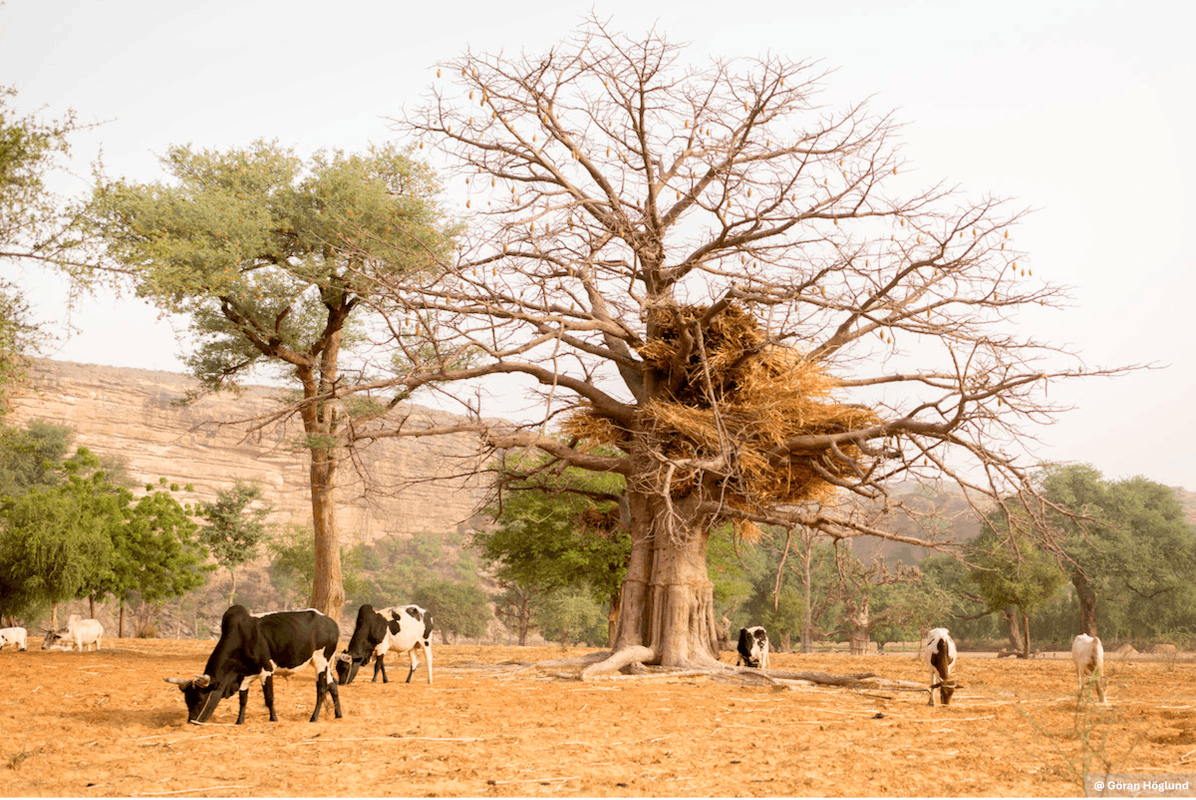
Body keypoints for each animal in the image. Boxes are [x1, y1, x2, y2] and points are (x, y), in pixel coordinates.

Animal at [164, 605, 342, 724]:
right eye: (187, 701)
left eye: (200, 700)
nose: (192, 722)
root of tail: (331, 623)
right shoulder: (244, 676)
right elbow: (243, 699)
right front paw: (239, 721)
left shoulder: (267, 671)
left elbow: (269, 697)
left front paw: (273, 719)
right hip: (326, 663)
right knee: (332, 685)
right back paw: (338, 714)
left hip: (320, 661)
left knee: (321, 688)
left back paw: (314, 717)